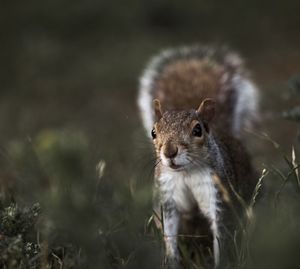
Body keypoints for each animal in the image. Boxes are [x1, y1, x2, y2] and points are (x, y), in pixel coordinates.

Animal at [137, 45, 258, 266]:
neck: (186, 173)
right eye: (153, 132)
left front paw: (221, 263)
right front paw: (171, 260)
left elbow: (222, 234)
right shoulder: (168, 196)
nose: (169, 152)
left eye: (197, 130)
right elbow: (169, 232)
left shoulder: (218, 193)